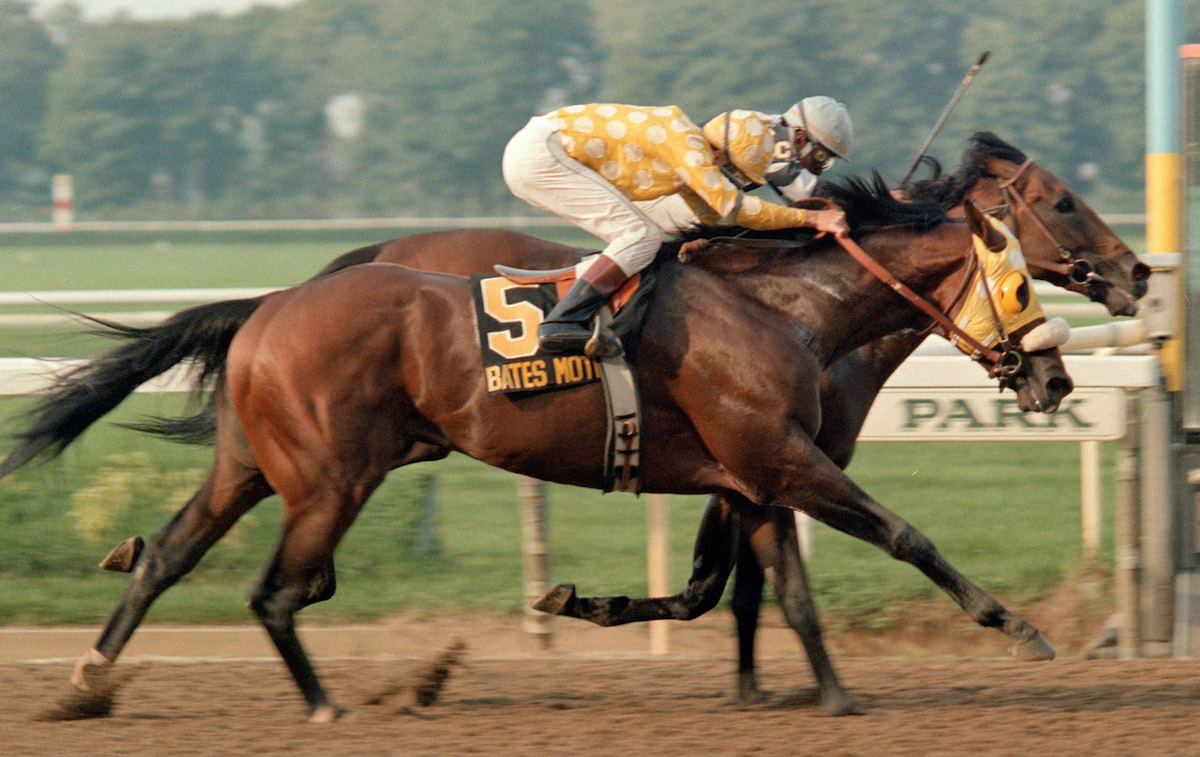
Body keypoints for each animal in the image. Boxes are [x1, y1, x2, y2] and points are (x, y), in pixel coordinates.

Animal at [0, 177, 1075, 724]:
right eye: (1023, 284)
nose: (1058, 381)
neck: (785, 309)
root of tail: (270, 303)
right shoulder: (783, 461)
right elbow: (903, 535)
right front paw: (1016, 626)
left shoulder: (757, 476)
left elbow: (779, 592)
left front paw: (836, 696)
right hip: (331, 478)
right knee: (273, 590)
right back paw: (326, 706)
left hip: (254, 464)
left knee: (172, 557)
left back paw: (89, 679)